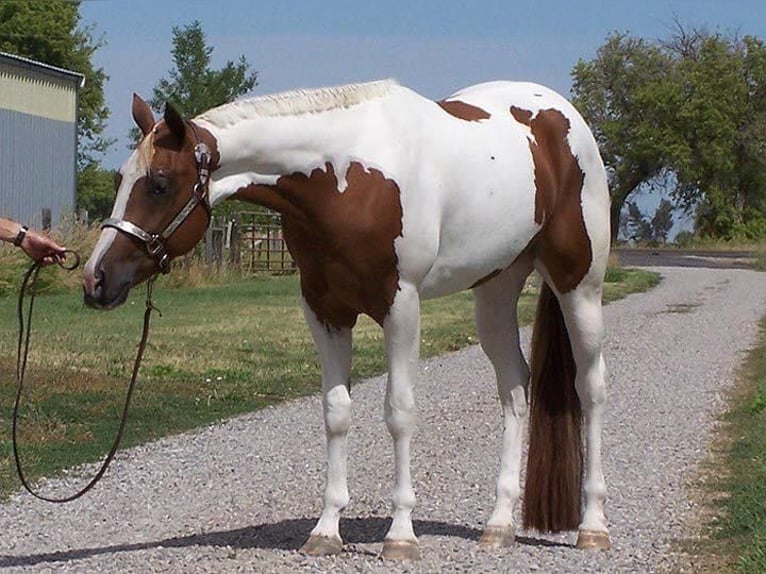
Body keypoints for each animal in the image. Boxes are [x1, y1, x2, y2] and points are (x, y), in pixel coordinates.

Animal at [82, 79, 611, 559]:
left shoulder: (402, 306)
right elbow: (336, 414)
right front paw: (326, 530)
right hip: (496, 291)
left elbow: (399, 413)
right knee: (515, 390)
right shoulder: (325, 310)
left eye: (159, 184)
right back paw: (498, 526)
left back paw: (592, 526)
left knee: (590, 389)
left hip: (579, 287)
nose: (96, 279)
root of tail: (562, 116)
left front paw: (400, 536)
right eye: (120, 180)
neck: (345, 175)